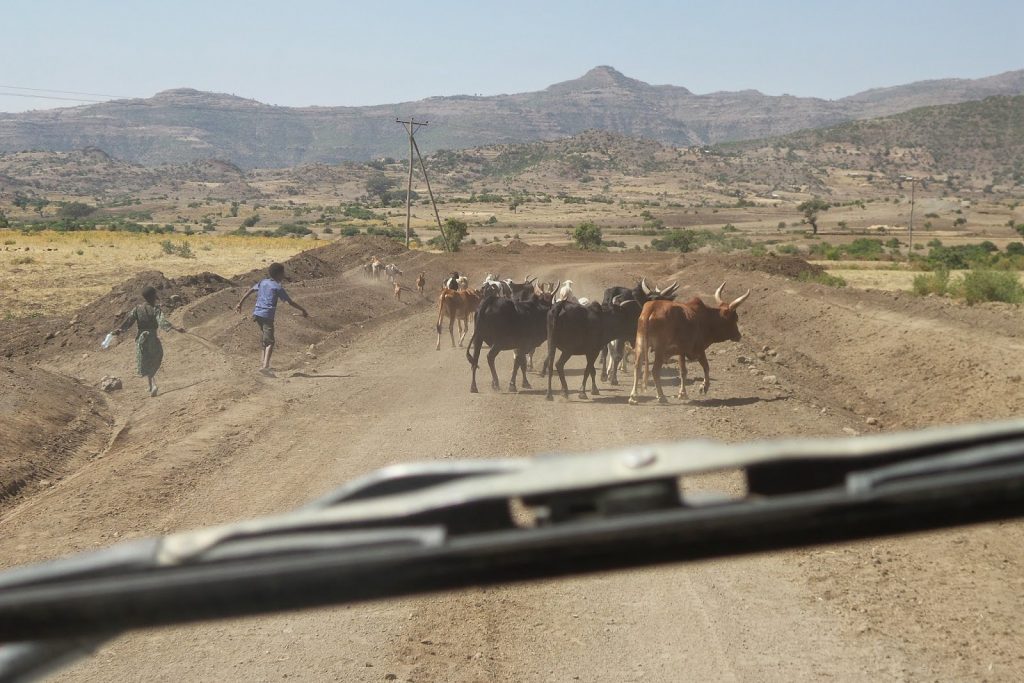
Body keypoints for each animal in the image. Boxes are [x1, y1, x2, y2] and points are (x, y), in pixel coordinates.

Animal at [622, 282, 753, 405]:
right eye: (735, 318)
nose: (738, 336)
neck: (705, 318)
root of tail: (652, 307)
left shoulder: (681, 351)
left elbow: (683, 371)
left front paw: (682, 393)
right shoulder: (698, 349)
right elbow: (705, 367)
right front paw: (703, 387)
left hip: (640, 344)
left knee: (637, 367)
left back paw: (633, 397)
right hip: (660, 349)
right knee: (654, 371)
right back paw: (661, 396)